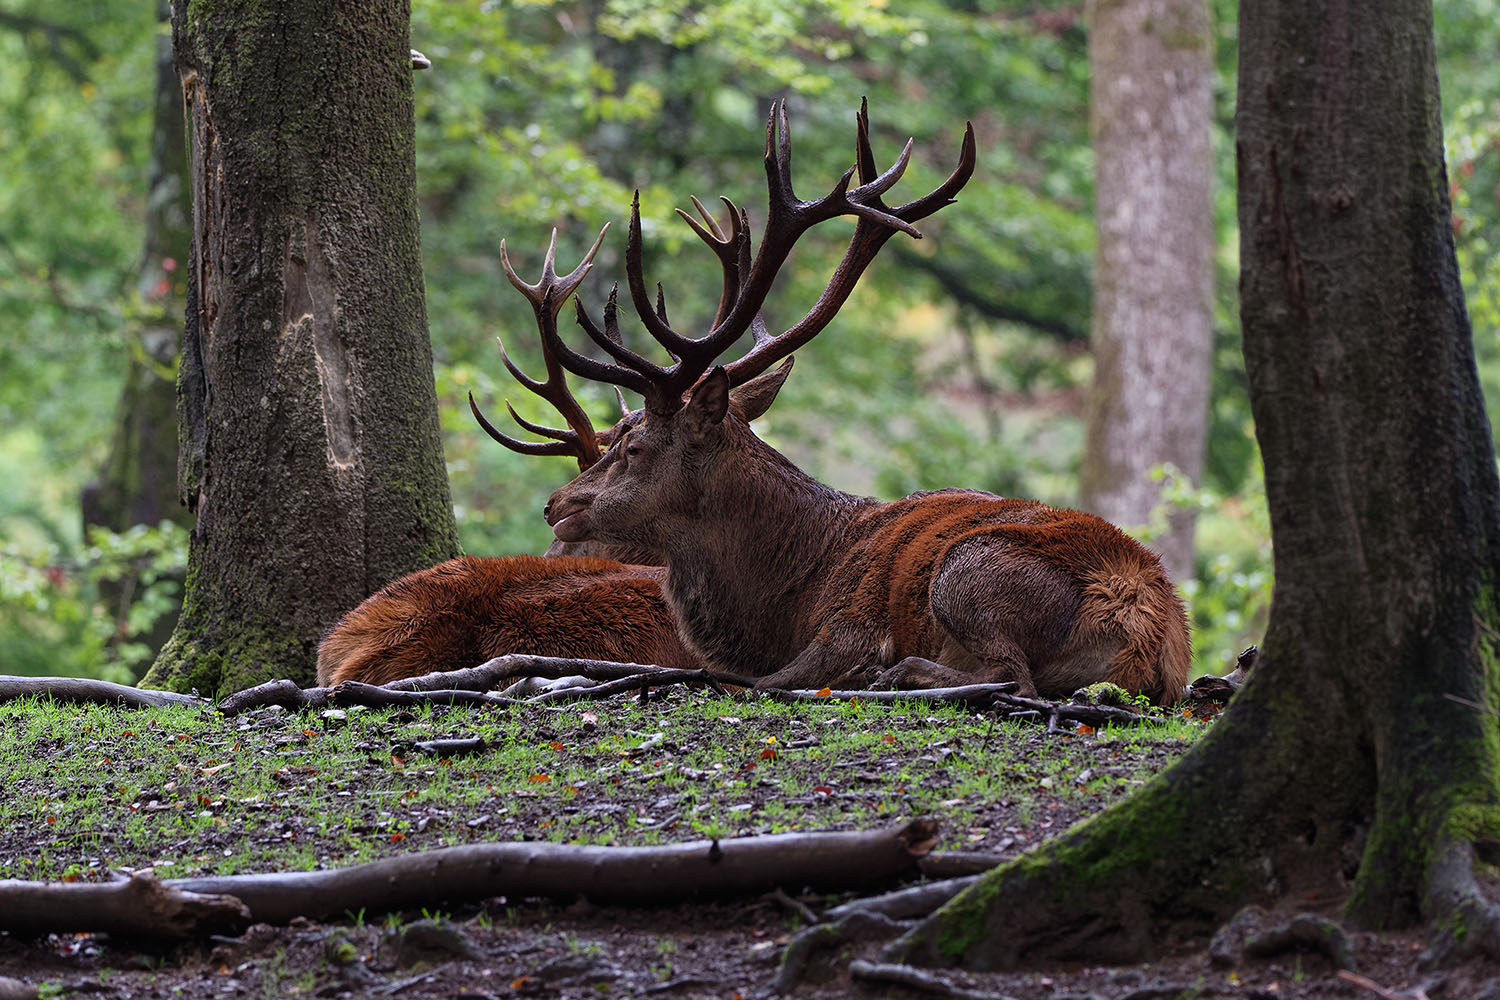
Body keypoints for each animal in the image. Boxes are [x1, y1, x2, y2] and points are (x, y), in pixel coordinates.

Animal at [522, 103, 1188, 704]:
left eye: (632, 447)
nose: (554, 504)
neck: (792, 594)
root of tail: (1146, 628)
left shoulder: (846, 628)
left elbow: (752, 681)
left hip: (967, 571)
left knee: (1011, 677)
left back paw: (896, 676)